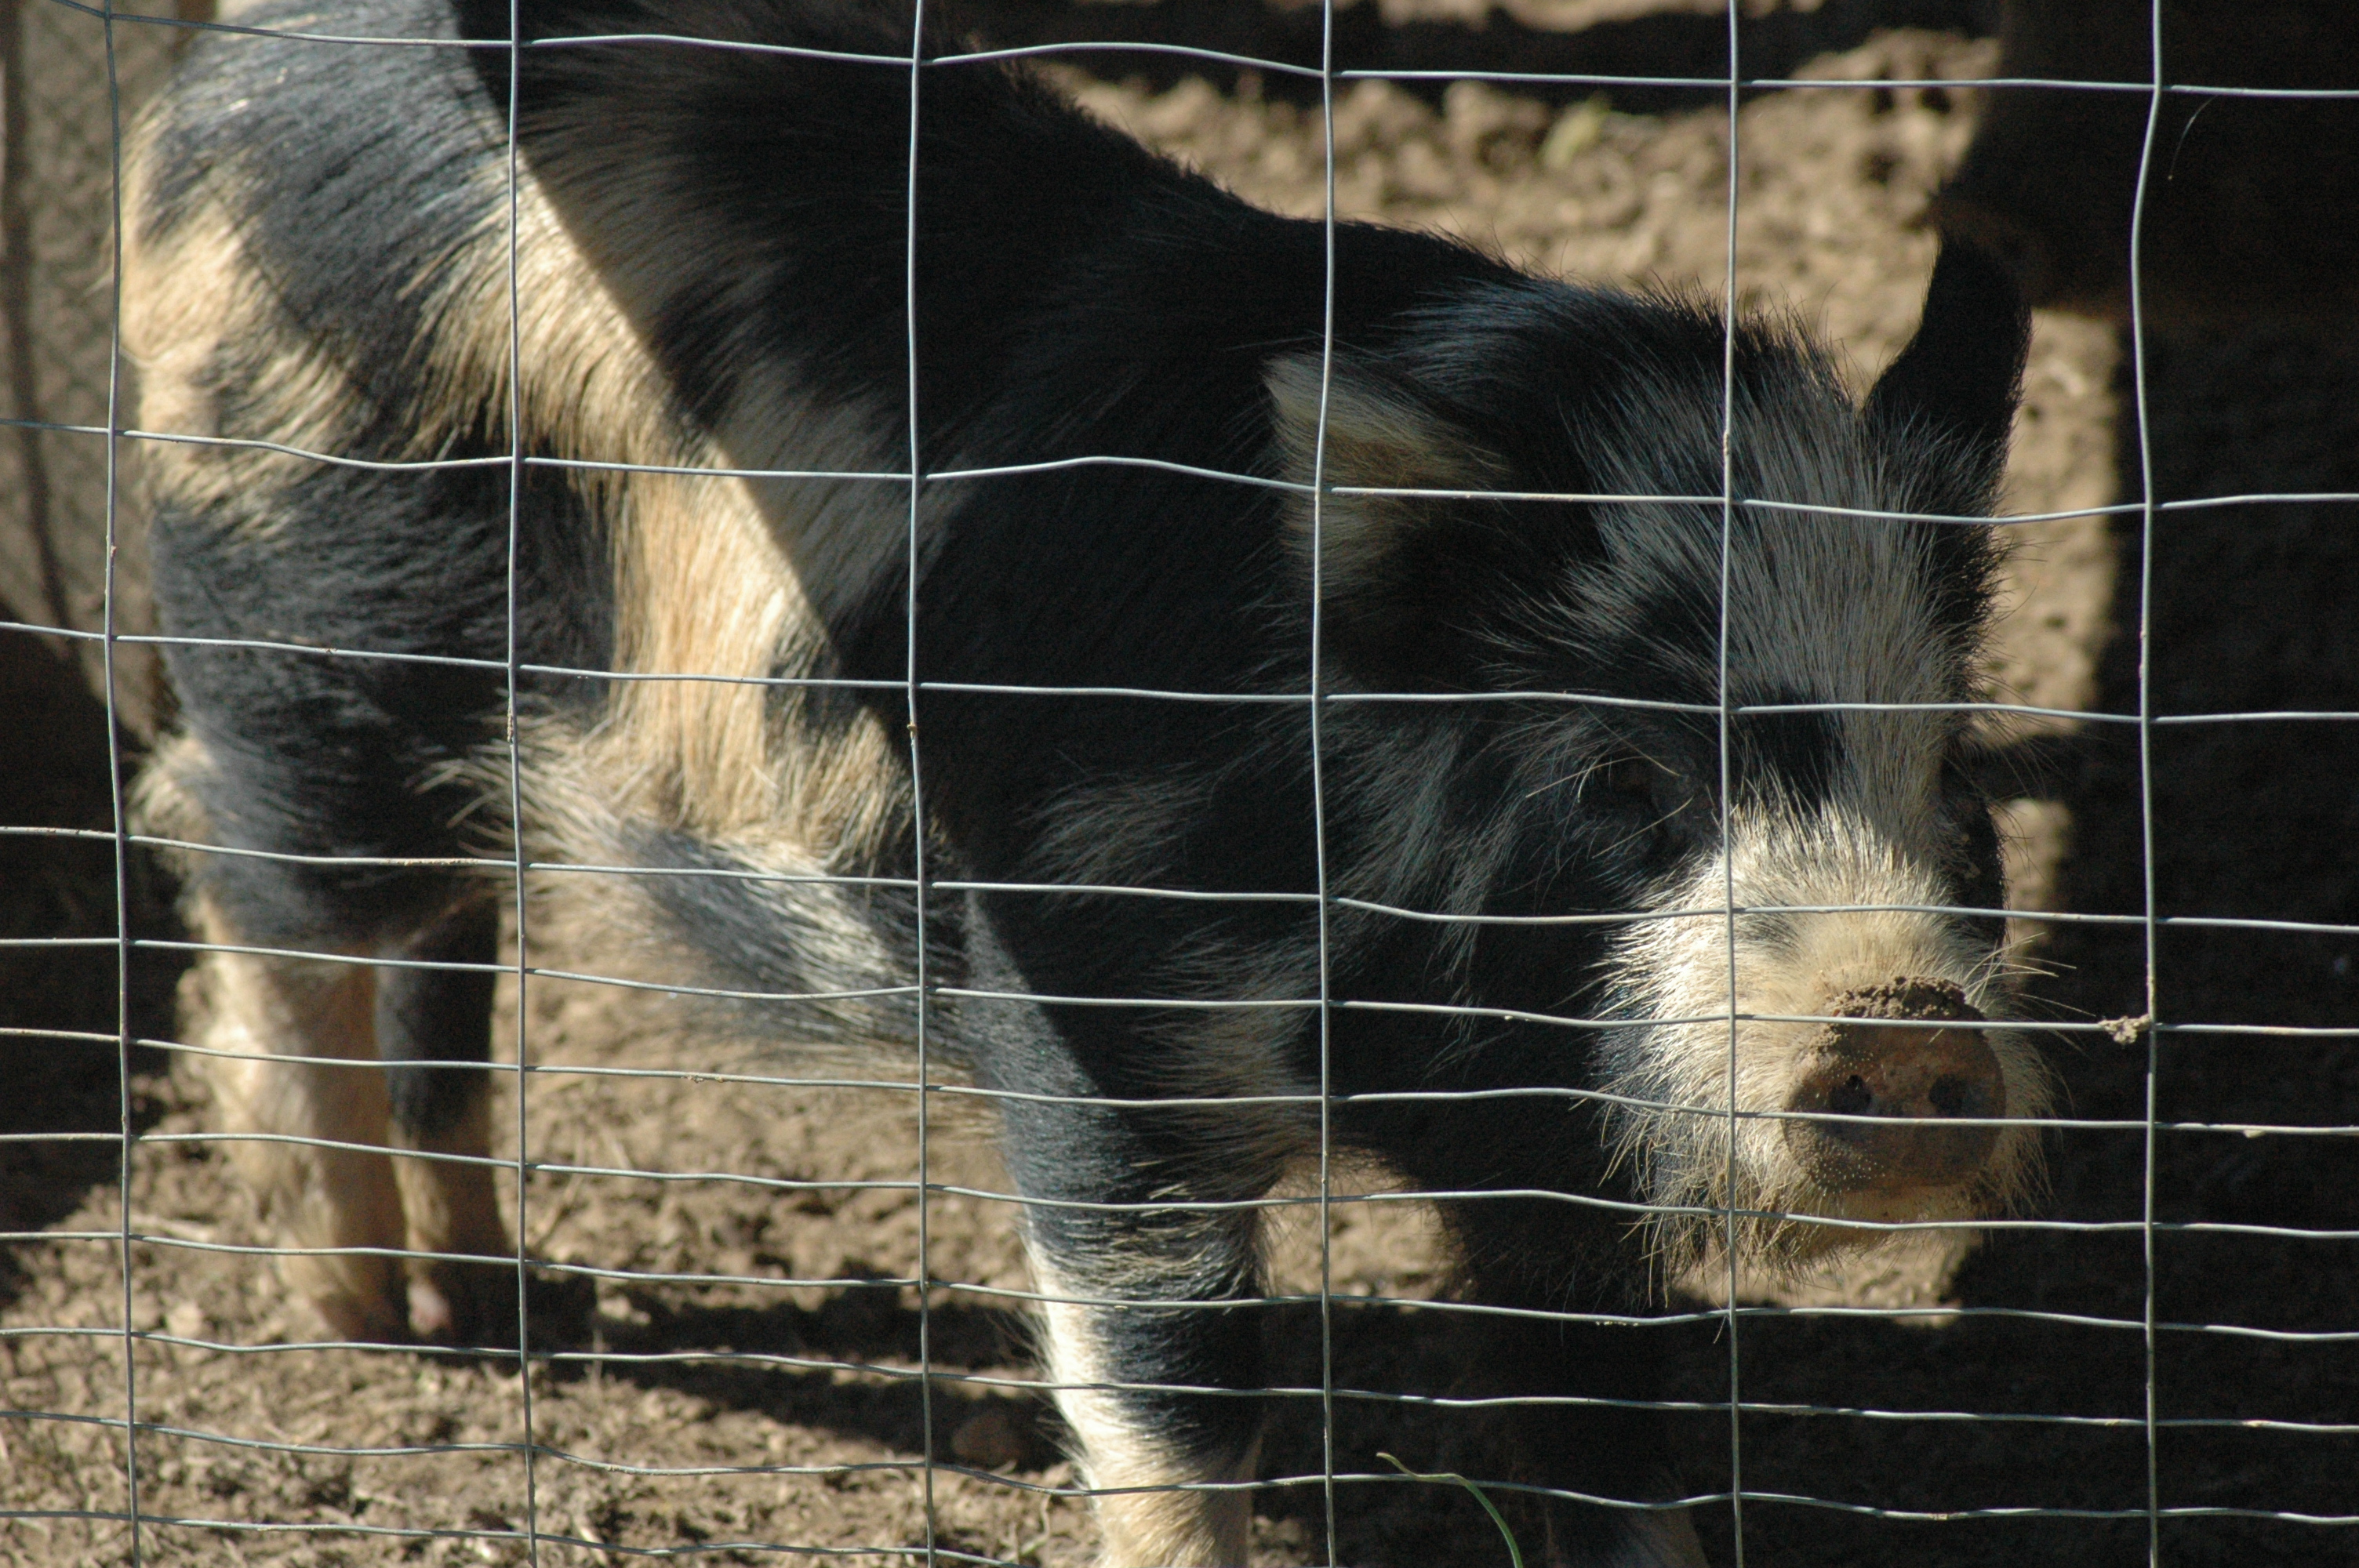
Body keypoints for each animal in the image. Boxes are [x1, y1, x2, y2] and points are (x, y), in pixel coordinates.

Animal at [122, 0, 2046, 1561]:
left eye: (1956, 780)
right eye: (1626, 776)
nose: (1905, 1022)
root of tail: (226, 87)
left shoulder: (1561, 1153)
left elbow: (1613, 1438)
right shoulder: (1093, 1006)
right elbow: (1172, 1397)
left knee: (438, 947)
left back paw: (499, 1287)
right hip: (302, 640)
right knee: (251, 885)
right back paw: (362, 1312)